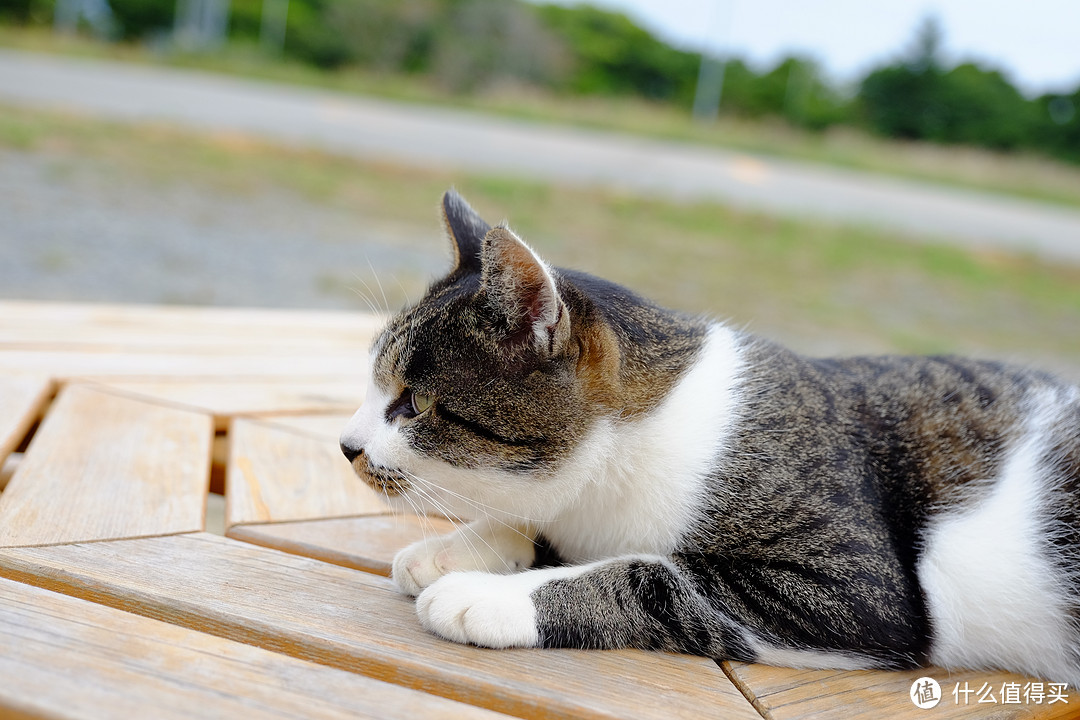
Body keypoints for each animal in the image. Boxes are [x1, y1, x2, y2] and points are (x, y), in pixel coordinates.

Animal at [339, 188, 1080, 686]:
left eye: (414, 403)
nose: (346, 445)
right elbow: (542, 525)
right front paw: (454, 549)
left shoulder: (856, 591)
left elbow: (652, 573)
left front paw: (483, 594)